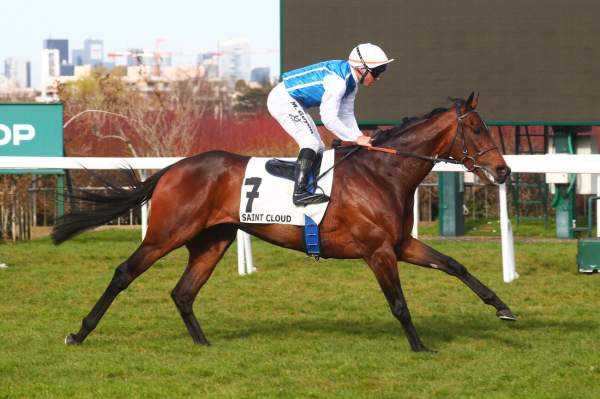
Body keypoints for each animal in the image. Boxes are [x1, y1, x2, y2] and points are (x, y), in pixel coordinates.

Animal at [54, 94, 516, 354]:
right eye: (477, 129)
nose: (503, 170)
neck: (382, 173)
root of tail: (171, 168)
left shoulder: (400, 244)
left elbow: (455, 265)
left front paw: (503, 307)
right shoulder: (378, 251)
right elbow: (399, 303)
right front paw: (420, 347)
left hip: (213, 240)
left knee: (183, 292)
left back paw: (203, 343)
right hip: (167, 233)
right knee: (124, 273)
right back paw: (78, 334)